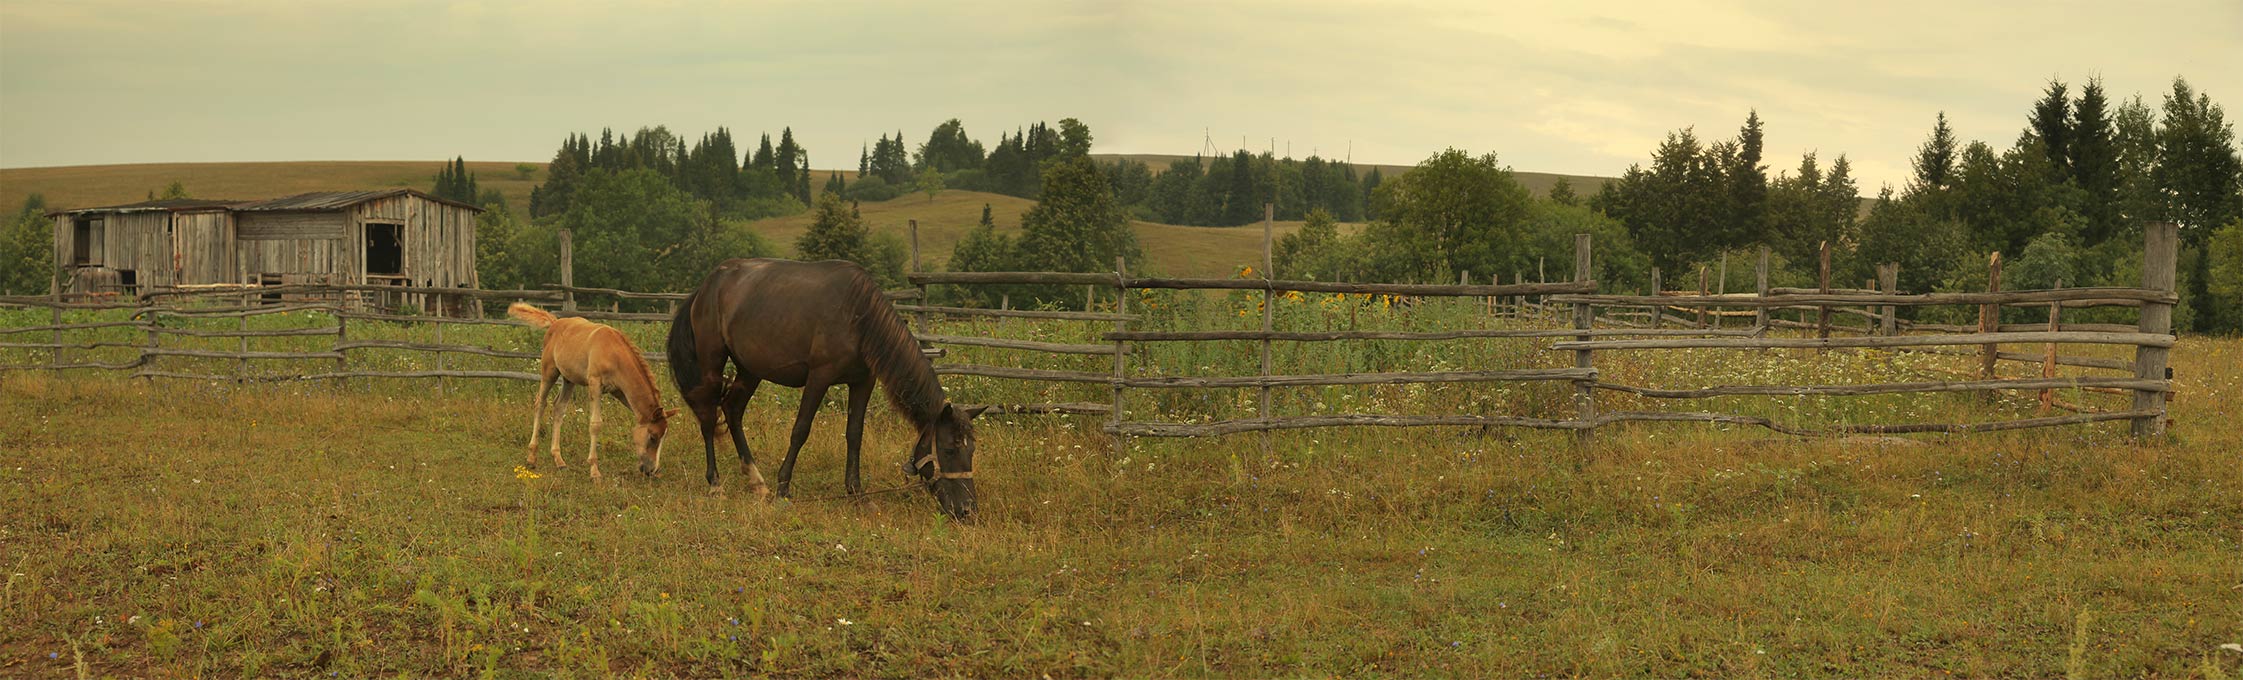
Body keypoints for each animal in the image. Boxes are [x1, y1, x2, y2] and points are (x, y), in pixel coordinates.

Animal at [659, 258, 986, 520]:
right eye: (949, 449)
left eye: (971, 450)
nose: (967, 510)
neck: (859, 316)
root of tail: (704, 288)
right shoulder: (819, 377)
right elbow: (801, 430)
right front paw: (783, 489)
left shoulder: (862, 382)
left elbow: (854, 434)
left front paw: (857, 494)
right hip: (712, 364)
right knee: (708, 417)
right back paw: (716, 484)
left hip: (750, 370)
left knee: (732, 410)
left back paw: (757, 481)